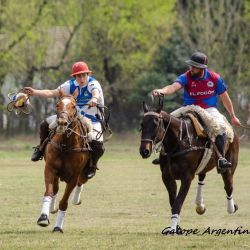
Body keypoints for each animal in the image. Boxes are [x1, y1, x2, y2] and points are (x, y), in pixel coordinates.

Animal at [36, 95, 91, 232]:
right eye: (57, 104)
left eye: (73, 106)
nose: (61, 123)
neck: (66, 145)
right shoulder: (50, 169)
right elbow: (49, 192)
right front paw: (43, 217)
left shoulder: (74, 176)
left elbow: (64, 202)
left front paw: (58, 227)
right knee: (55, 189)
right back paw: (51, 208)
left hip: (84, 172)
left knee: (82, 180)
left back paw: (76, 200)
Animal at [140, 100, 239, 233]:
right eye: (142, 125)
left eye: (156, 125)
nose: (144, 151)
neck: (178, 142)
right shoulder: (167, 177)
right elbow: (173, 201)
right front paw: (177, 227)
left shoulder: (186, 177)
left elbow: (177, 203)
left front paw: (173, 229)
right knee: (202, 178)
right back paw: (200, 205)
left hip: (229, 165)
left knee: (228, 186)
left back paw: (231, 208)